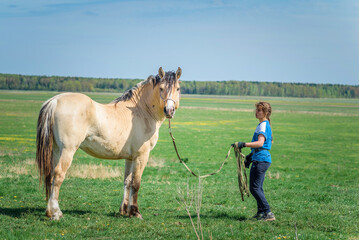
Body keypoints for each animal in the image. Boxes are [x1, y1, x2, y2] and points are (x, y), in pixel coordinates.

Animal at [35, 67, 183, 219]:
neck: (142, 111)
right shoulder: (141, 156)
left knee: (51, 175)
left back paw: (49, 211)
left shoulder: (130, 158)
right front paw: (135, 212)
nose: (169, 110)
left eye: (177, 88)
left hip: (56, 149)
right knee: (58, 175)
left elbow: (127, 182)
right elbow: (136, 183)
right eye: (161, 88)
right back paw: (56, 212)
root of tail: (55, 101)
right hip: (67, 150)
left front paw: (124, 211)